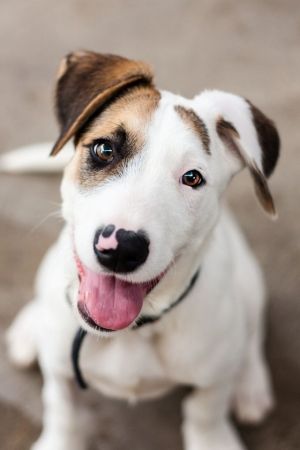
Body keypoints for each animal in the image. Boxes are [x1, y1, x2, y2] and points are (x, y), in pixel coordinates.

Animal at [4, 52, 280, 450]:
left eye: (192, 177)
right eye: (105, 149)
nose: (121, 249)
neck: (132, 332)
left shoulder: (212, 382)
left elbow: (206, 413)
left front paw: (215, 433)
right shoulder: (59, 371)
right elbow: (63, 410)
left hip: (250, 278)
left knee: (253, 333)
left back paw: (250, 386)